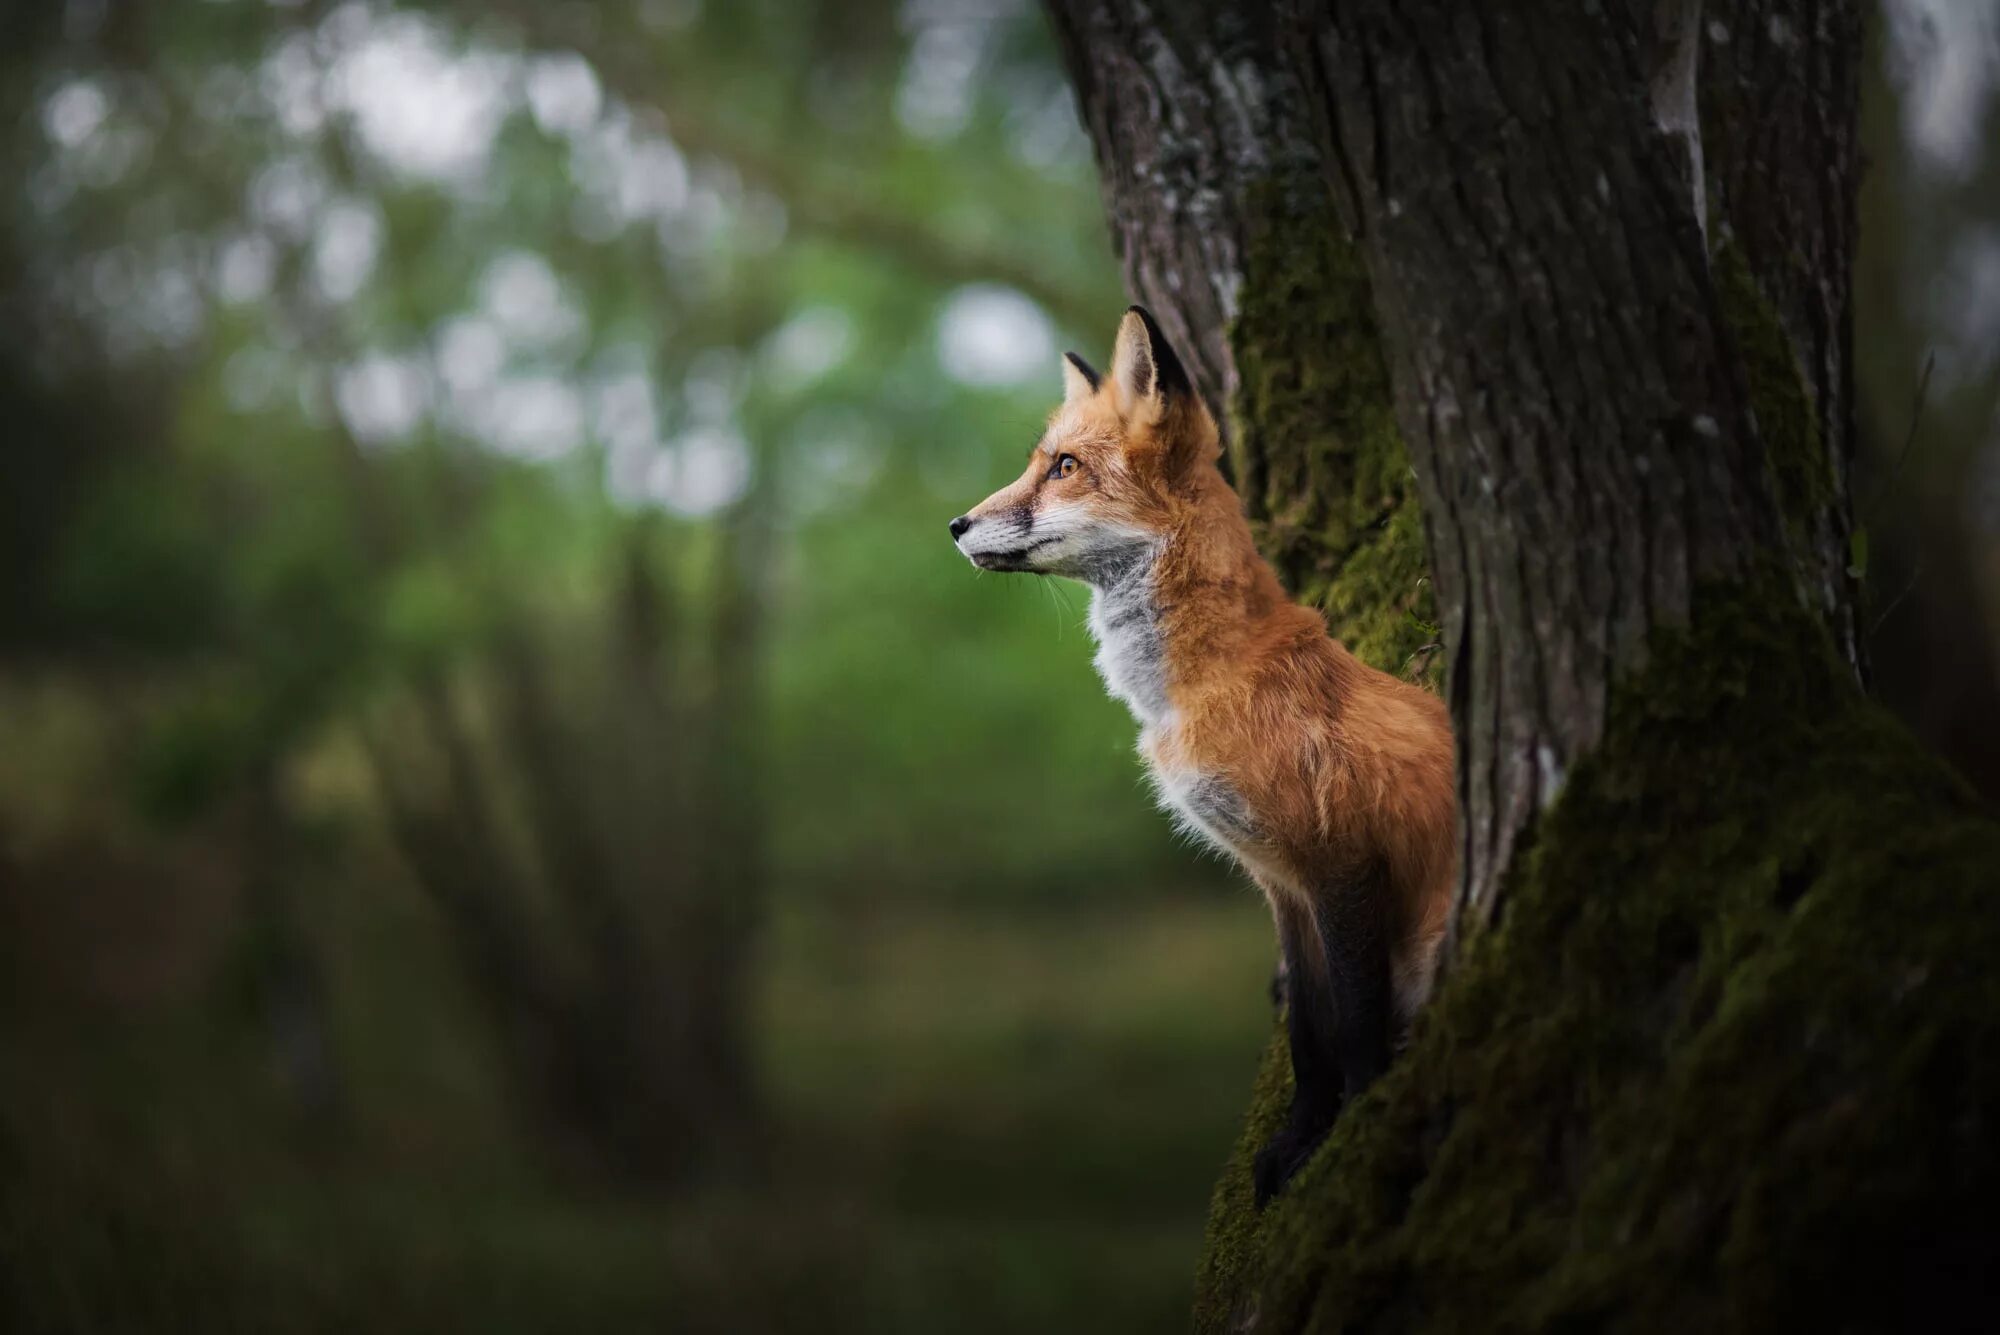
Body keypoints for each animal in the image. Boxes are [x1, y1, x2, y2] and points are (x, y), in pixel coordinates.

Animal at [952, 307, 1456, 1207]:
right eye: (1038, 463)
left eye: (1064, 468)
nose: (956, 525)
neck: (1202, 685)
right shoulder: (1280, 882)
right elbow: (1309, 1035)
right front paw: (1296, 1143)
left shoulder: (1342, 860)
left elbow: (1357, 1024)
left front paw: (1355, 1133)